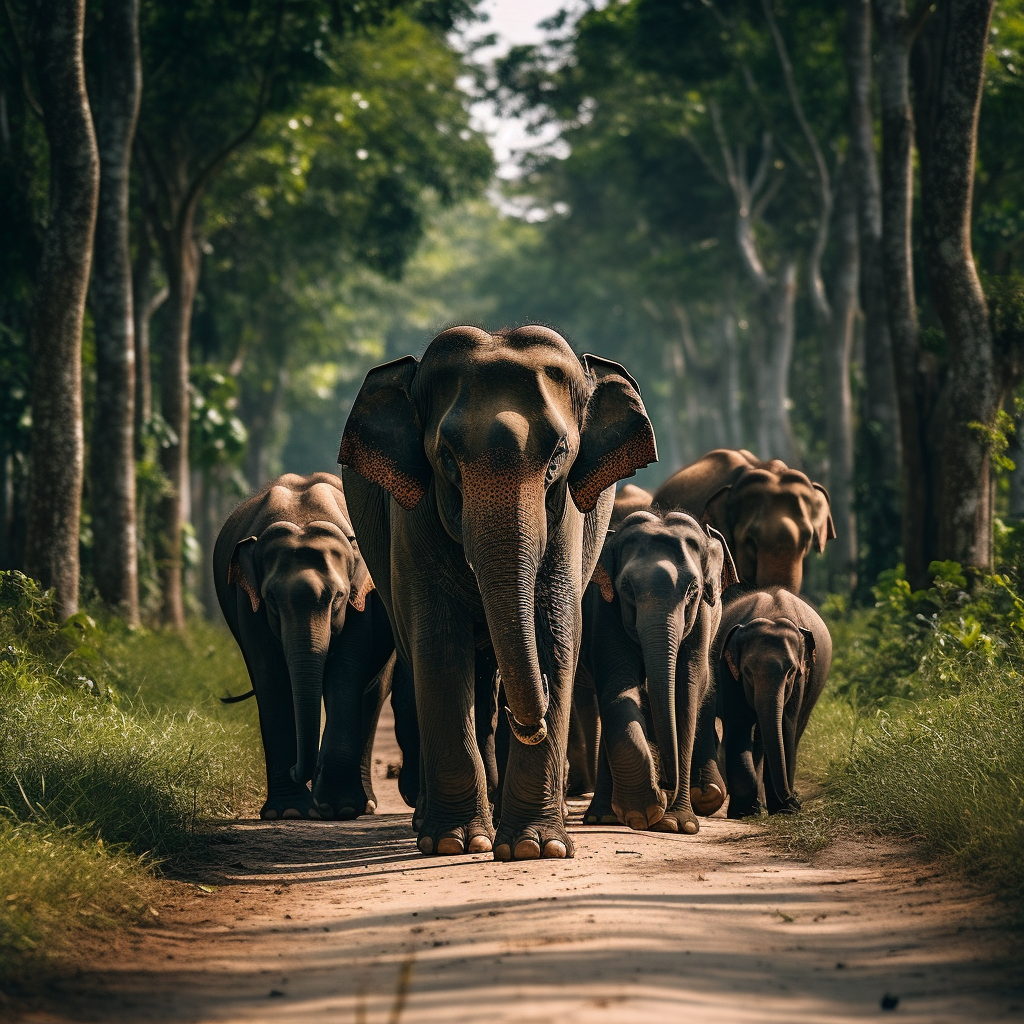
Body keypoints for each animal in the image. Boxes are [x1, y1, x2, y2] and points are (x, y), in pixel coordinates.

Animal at [214, 473, 393, 823]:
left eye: (338, 598)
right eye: (271, 599)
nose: (300, 770)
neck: (302, 517)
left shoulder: (362, 602)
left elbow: (345, 673)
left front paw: (340, 808)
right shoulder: (247, 602)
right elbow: (270, 676)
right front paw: (290, 811)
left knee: (373, 691)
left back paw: (362, 805)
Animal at [337, 325, 655, 856]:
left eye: (558, 455)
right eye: (446, 458)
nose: (532, 721)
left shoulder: (568, 517)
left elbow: (555, 634)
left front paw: (535, 847)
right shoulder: (413, 514)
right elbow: (439, 643)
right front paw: (455, 842)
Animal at [577, 507, 737, 835]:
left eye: (692, 590)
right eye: (627, 588)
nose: (666, 785)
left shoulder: (702, 617)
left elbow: (686, 692)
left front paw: (677, 824)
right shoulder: (604, 608)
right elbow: (619, 683)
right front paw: (643, 812)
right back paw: (603, 817)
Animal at [716, 585, 835, 815]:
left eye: (791, 672)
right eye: (748, 672)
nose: (795, 801)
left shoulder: (801, 678)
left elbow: (785, 725)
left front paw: (781, 810)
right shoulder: (728, 673)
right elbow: (739, 724)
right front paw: (744, 811)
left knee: (792, 730)